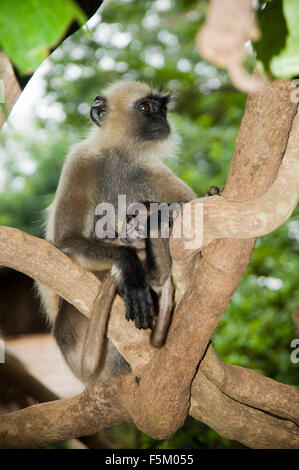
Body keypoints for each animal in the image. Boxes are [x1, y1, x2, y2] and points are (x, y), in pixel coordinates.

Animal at [36, 80, 196, 382]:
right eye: (145, 108)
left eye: (162, 109)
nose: (162, 121)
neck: (120, 157)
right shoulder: (80, 161)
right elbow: (67, 242)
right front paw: (129, 265)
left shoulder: (147, 169)